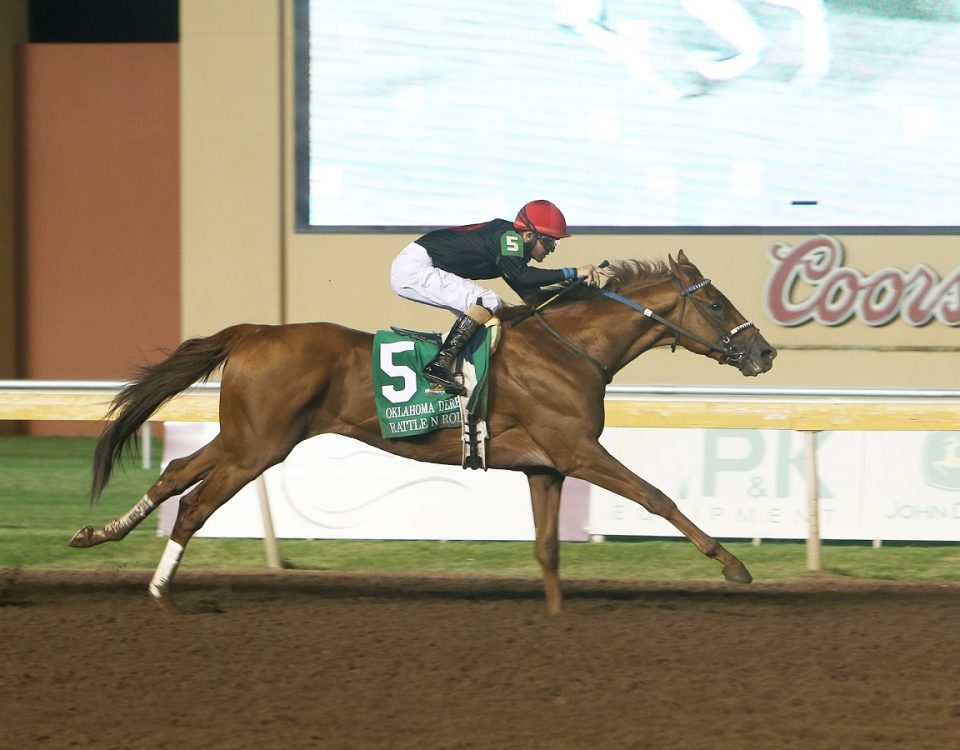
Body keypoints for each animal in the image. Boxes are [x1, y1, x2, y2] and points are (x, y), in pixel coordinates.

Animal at [75, 250, 780, 612]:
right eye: (714, 301)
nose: (765, 353)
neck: (570, 349)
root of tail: (256, 331)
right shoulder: (578, 451)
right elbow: (657, 497)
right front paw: (733, 565)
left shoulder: (545, 465)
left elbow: (547, 549)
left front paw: (556, 617)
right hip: (258, 448)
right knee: (195, 506)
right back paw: (161, 592)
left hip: (244, 437)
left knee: (173, 477)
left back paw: (98, 534)